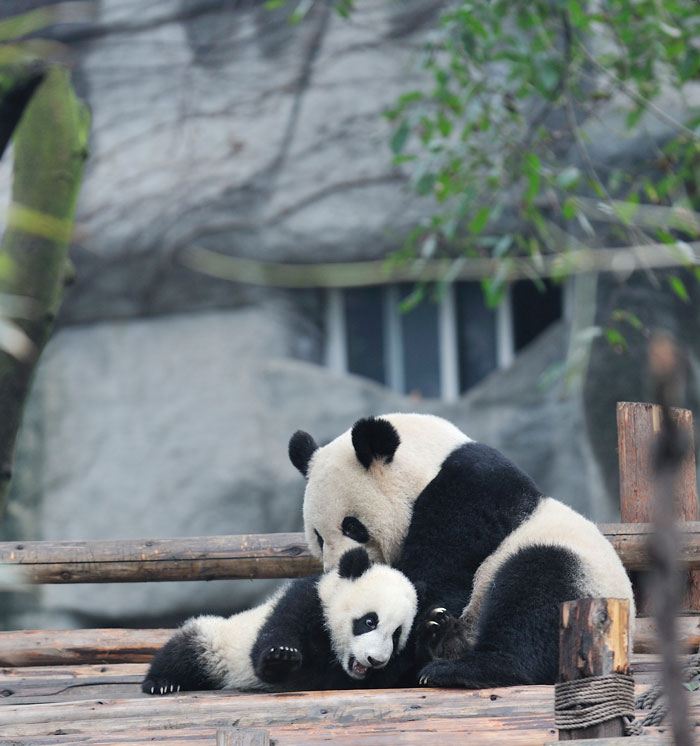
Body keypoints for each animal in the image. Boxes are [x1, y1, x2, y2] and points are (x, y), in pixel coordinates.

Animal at [142, 544, 416, 696]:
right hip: (216, 640)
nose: (376, 660)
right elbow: (275, 642)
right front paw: (280, 656)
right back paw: (161, 682)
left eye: (396, 635)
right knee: (185, 651)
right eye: (370, 621)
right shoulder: (305, 600)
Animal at [288, 412, 636, 684]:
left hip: (582, 579)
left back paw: (464, 667)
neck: (428, 460)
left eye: (352, 526)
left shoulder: (471, 492)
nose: (337, 568)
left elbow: (438, 576)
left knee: (539, 590)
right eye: (318, 537)